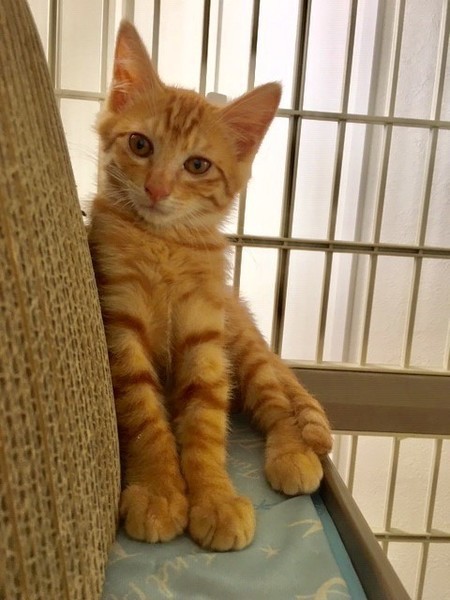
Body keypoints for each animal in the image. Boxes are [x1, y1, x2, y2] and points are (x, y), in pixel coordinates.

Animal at [88, 20, 332, 552]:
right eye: (140, 145)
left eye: (197, 165)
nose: (157, 189)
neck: (163, 243)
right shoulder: (120, 322)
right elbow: (143, 416)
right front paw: (159, 490)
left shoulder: (205, 334)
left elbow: (205, 419)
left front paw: (215, 498)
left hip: (242, 342)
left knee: (278, 403)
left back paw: (293, 454)